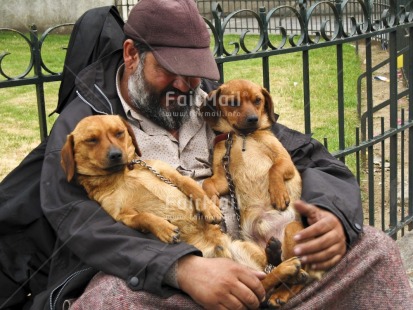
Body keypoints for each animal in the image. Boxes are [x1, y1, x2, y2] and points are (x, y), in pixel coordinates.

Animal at [59, 114, 308, 300]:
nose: (115, 154)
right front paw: (164, 229)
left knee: (267, 276)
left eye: (119, 133)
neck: (123, 173)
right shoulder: (122, 216)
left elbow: (194, 189)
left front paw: (210, 210)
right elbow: (143, 218)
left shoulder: (170, 174)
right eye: (91, 140)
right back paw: (287, 268)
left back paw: (280, 259)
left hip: (246, 248)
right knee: (263, 285)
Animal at [201, 80, 324, 308]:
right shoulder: (222, 178)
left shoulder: (285, 162)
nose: (252, 119)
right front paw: (211, 204)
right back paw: (274, 256)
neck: (241, 136)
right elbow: (207, 183)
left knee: (302, 278)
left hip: (292, 231)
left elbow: (274, 170)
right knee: (271, 269)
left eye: (258, 100)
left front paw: (279, 195)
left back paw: (283, 290)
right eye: (233, 102)